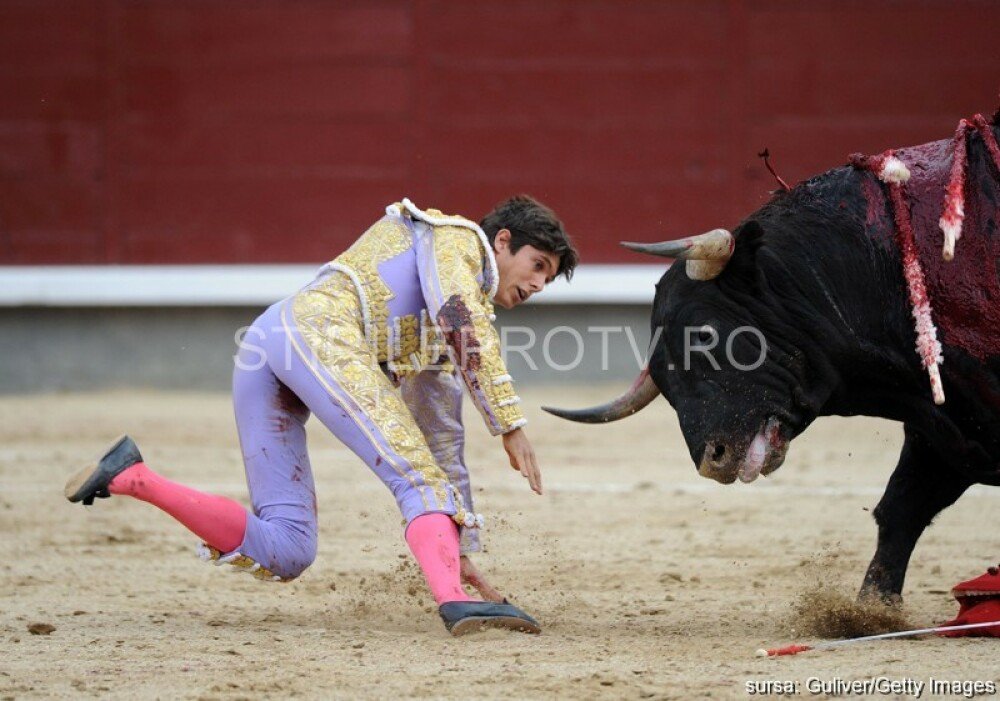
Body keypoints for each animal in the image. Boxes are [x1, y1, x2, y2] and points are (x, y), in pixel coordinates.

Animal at [548, 115, 1000, 600]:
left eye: (704, 334)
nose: (714, 461)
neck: (878, 266)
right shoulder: (945, 432)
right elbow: (900, 511)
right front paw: (870, 608)